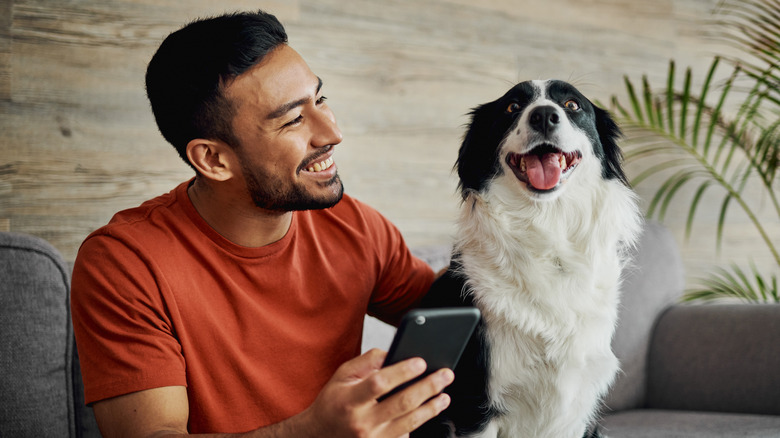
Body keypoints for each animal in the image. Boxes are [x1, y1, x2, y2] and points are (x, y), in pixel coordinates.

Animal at [418, 80, 644, 438]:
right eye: (512, 106)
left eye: (572, 104)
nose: (544, 116)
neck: (547, 230)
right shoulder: (476, 405)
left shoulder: (576, 410)